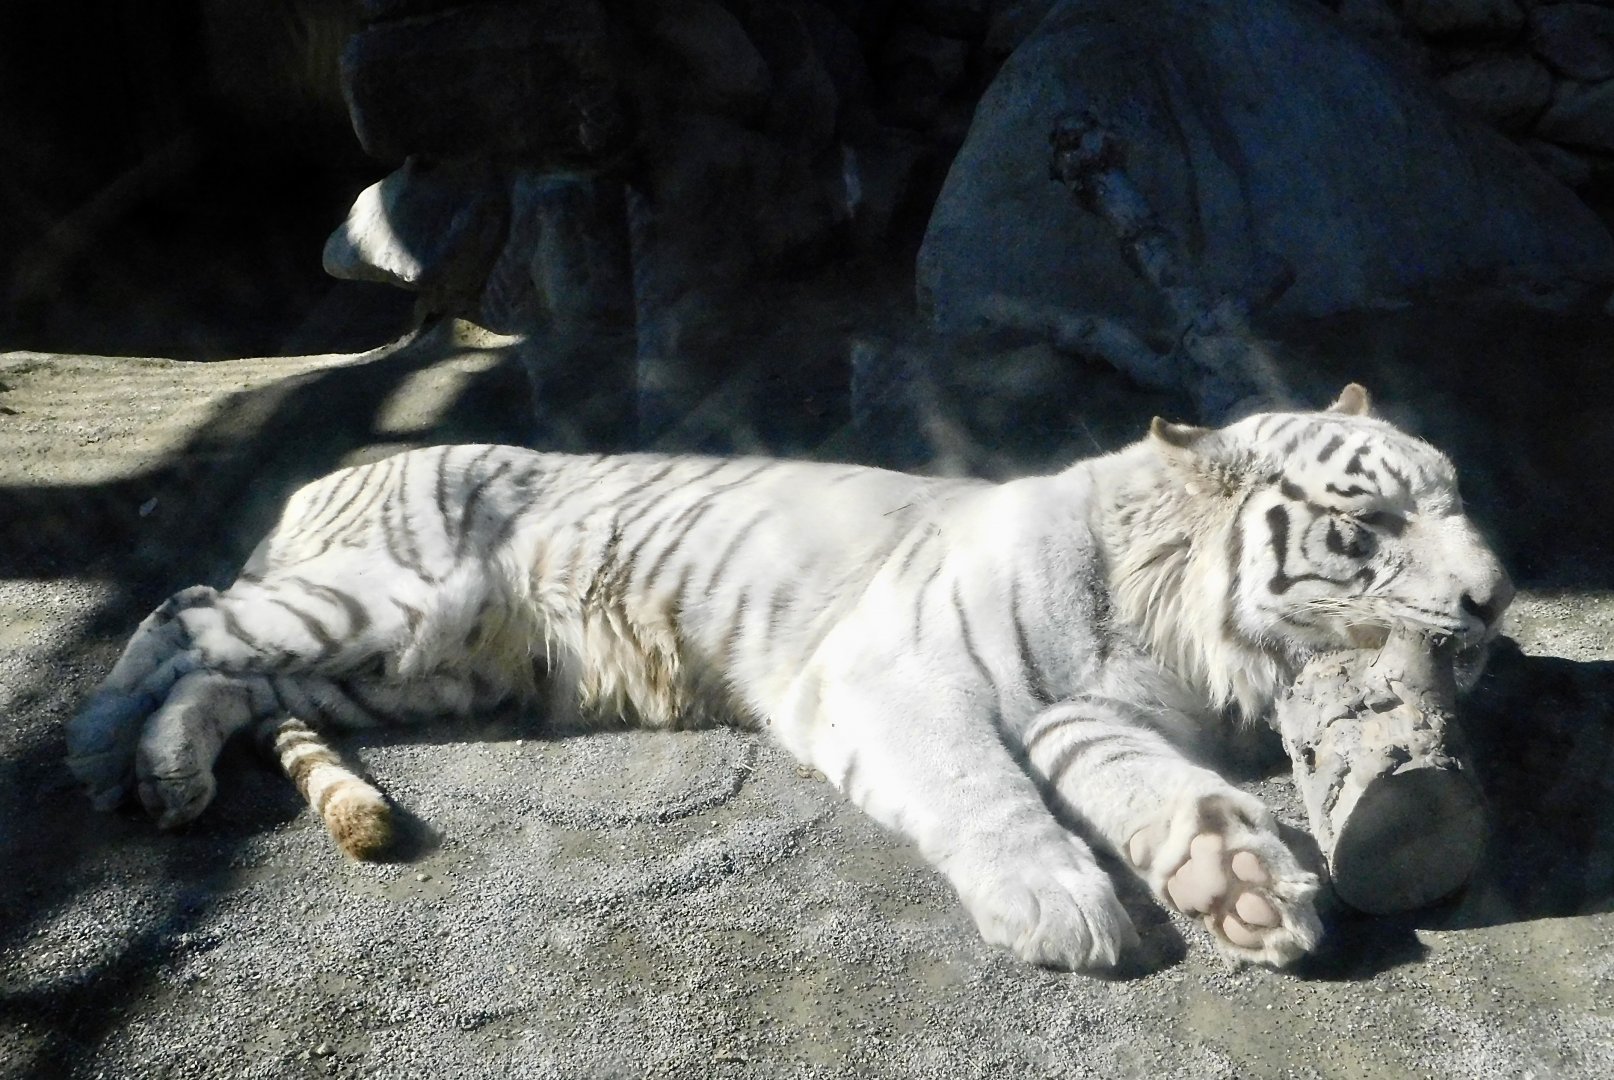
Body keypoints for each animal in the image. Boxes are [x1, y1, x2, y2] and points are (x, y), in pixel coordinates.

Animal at [65, 384, 1512, 971]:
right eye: (1369, 522)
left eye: (1454, 497)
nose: (1497, 595)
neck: (1169, 618)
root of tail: (317, 478)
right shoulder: (896, 676)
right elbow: (983, 792)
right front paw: (1061, 909)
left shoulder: (1087, 716)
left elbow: (1165, 793)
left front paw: (1242, 887)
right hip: (391, 596)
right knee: (185, 612)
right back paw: (92, 747)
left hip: (417, 671)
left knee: (236, 683)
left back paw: (172, 771)